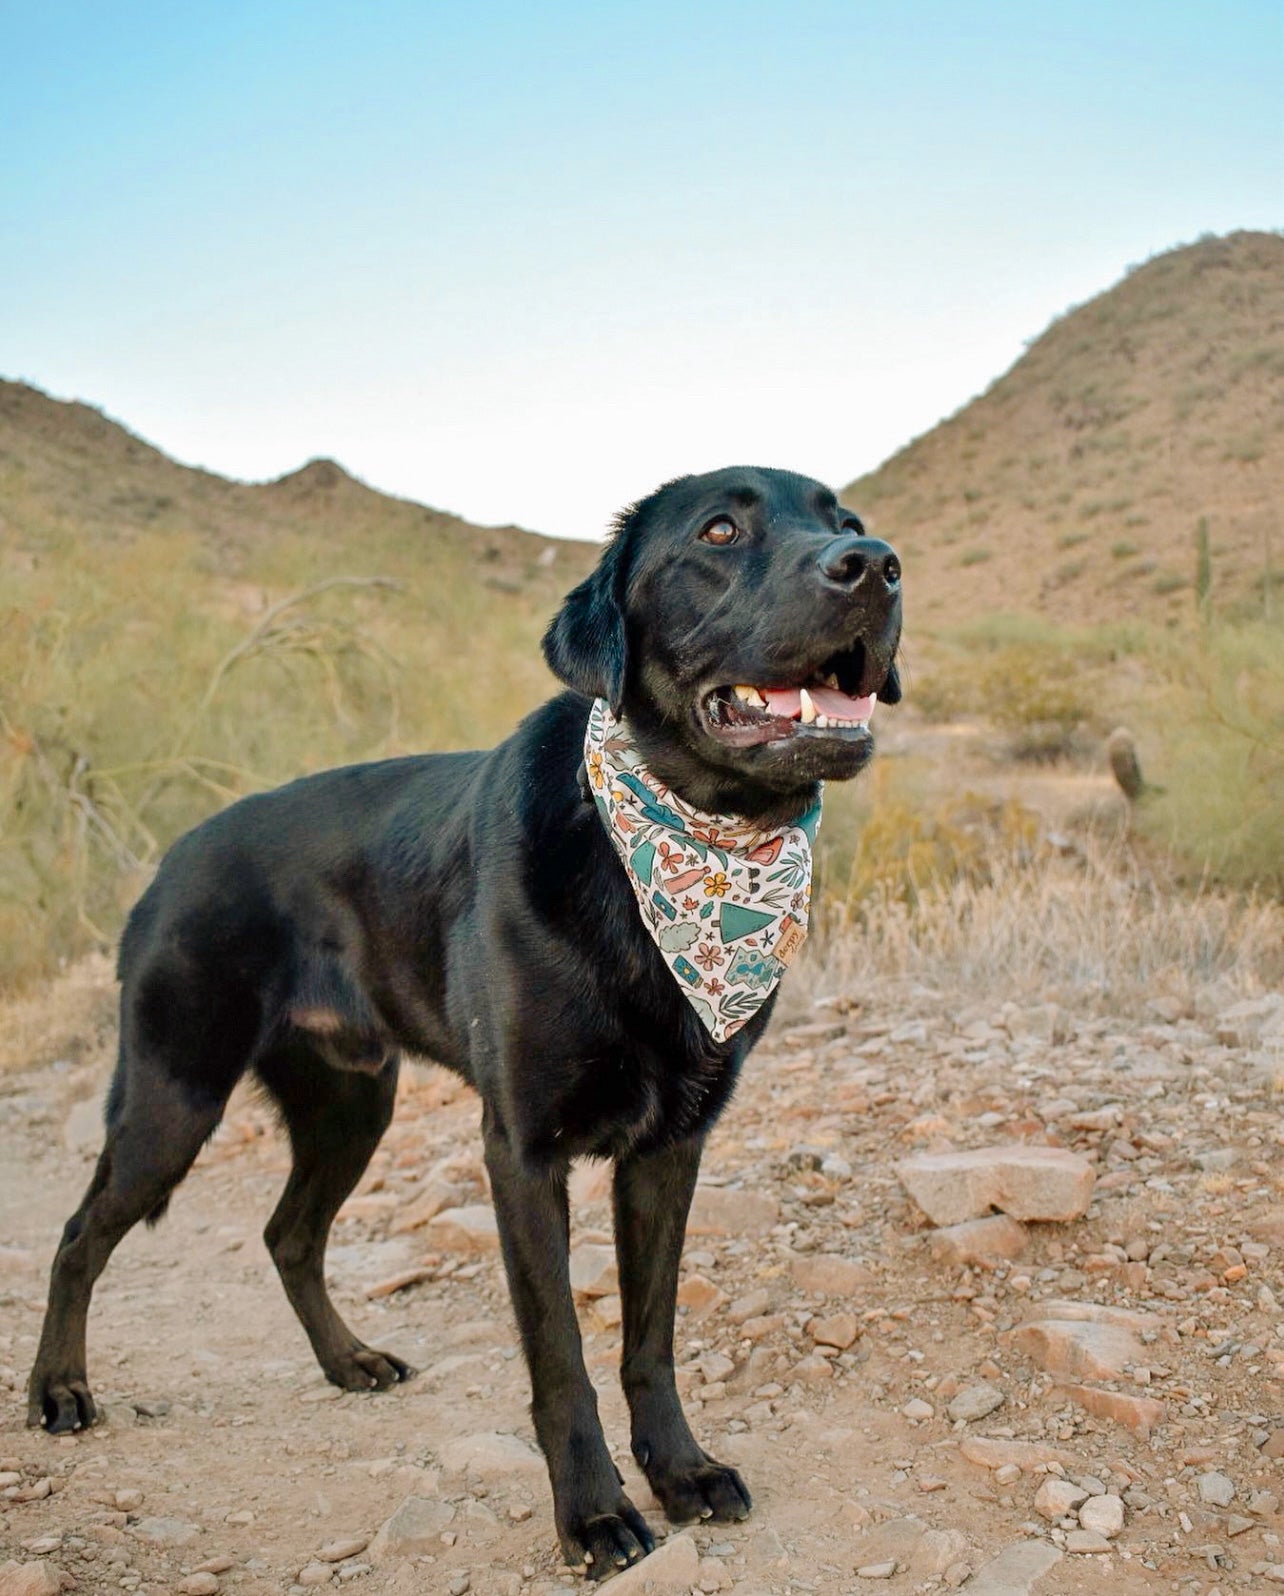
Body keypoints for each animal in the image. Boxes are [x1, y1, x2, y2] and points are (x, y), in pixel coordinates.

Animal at [25, 466, 899, 1576]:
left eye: (845, 521)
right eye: (719, 531)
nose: (875, 565)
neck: (672, 845)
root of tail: (170, 854)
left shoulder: (670, 1147)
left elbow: (649, 1341)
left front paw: (682, 1472)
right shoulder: (522, 1153)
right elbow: (562, 1357)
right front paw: (596, 1515)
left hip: (350, 1108)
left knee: (287, 1235)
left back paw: (348, 1360)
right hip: (170, 1099)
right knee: (79, 1234)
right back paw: (58, 1388)